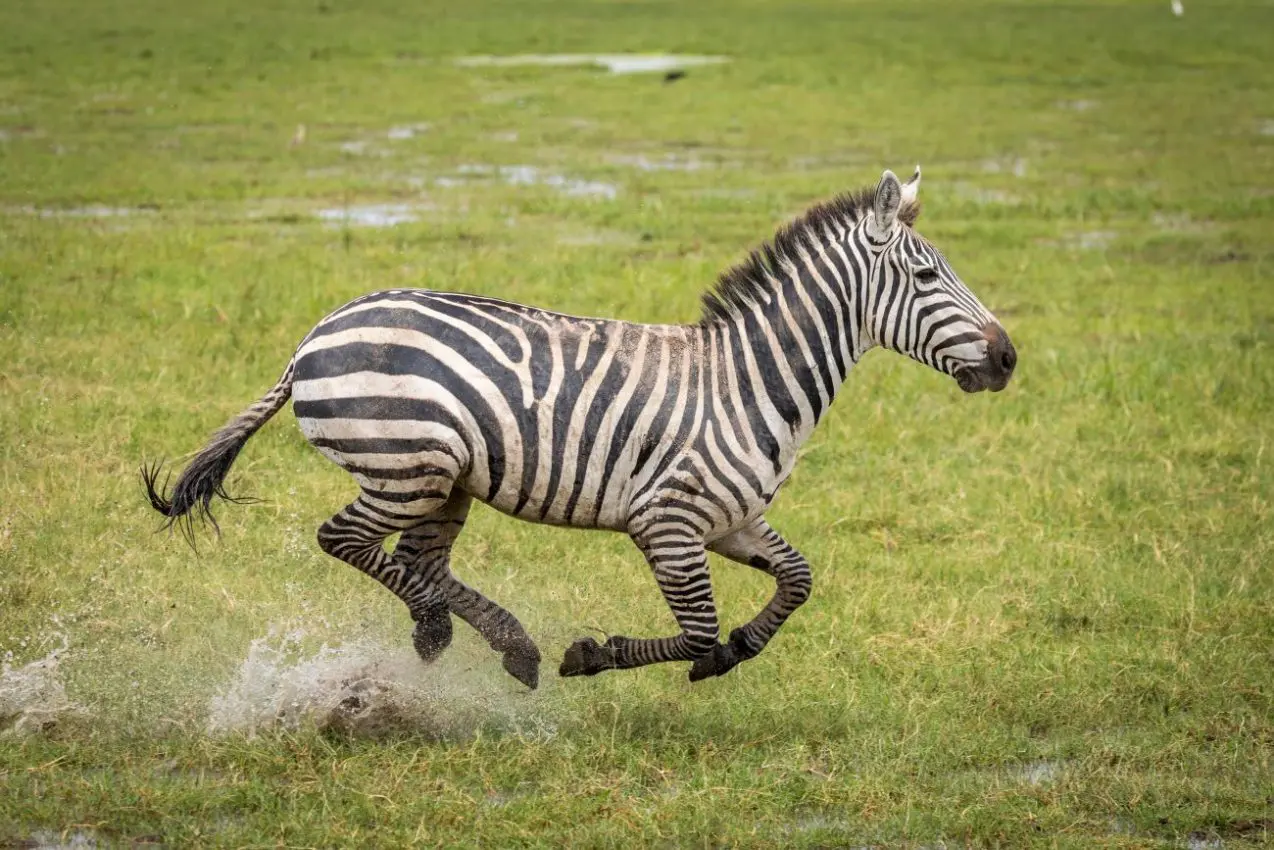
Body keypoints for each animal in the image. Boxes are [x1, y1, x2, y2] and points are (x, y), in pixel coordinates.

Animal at [142, 168, 1014, 693]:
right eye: (927, 275)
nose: (1008, 358)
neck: (746, 380)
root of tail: (312, 338)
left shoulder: (732, 519)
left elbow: (797, 581)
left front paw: (741, 648)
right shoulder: (667, 521)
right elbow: (697, 629)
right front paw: (599, 655)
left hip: (444, 482)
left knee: (419, 563)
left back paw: (487, 640)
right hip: (406, 464)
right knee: (346, 541)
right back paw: (477, 635)